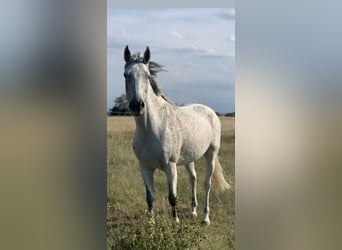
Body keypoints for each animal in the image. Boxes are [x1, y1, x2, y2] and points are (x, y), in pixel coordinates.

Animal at [123, 45, 230, 225]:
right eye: (126, 75)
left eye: (148, 75)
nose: (137, 105)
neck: (152, 129)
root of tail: (210, 111)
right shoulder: (145, 167)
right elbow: (150, 198)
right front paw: (151, 224)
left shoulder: (170, 166)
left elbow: (172, 197)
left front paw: (176, 222)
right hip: (189, 158)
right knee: (193, 179)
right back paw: (193, 212)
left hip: (211, 154)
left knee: (206, 184)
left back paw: (205, 218)